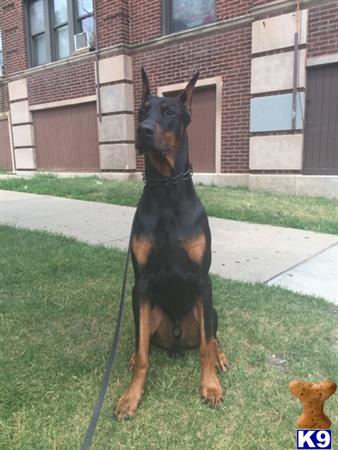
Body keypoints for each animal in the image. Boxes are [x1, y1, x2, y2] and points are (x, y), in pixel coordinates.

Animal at [113, 68, 227, 420]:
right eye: (140, 111)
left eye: (169, 112)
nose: (143, 130)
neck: (166, 189)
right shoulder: (141, 284)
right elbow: (142, 351)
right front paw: (131, 397)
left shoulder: (203, 280)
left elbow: (205, 347)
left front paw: (211, 387)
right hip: (146, 311)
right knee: (142, 342)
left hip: (208, 310)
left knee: (211, 337)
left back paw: (220, 357)